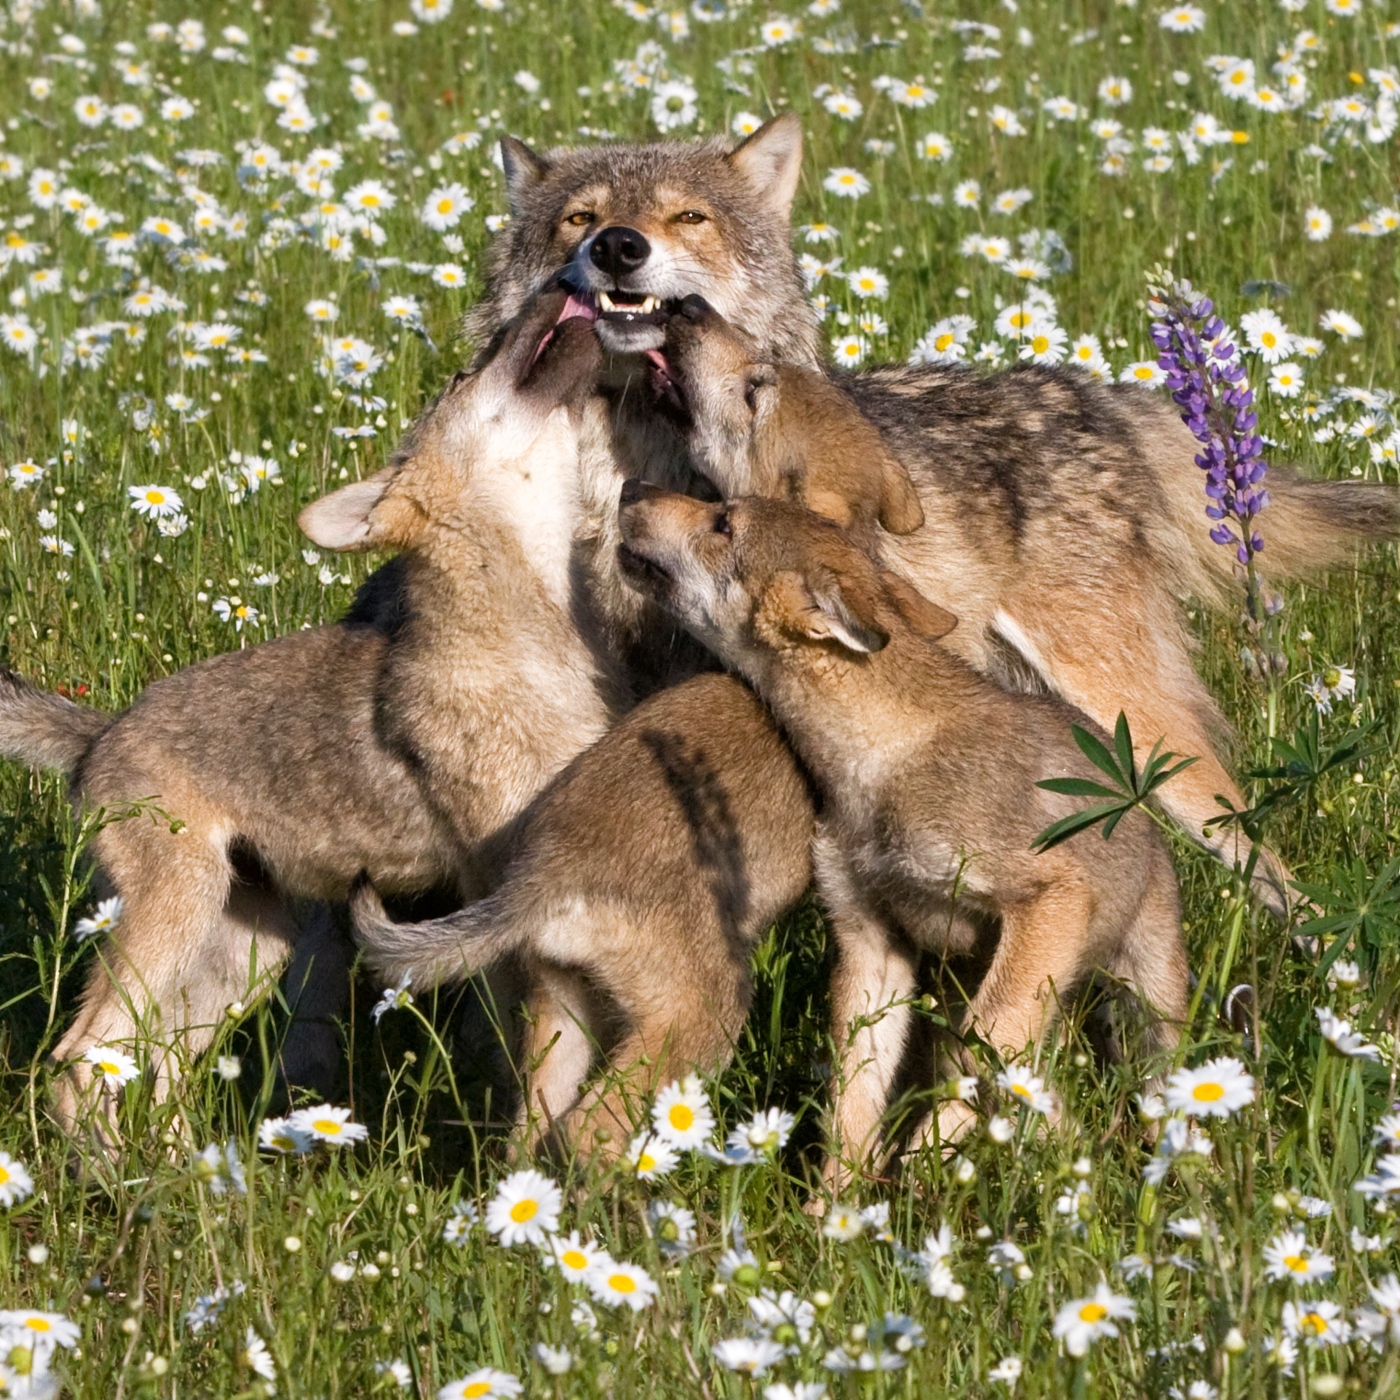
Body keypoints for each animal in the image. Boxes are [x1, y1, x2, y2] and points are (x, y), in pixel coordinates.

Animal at [0, 292, 622, 1131]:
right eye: (466, 375)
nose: (560, 283)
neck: (531, 633)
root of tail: (100, 736)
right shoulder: (505, 898)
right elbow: (531, 1065)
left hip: (241, 955)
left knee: (155, 1069)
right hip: (176, 921)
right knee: (78, 1064)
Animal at [616, 485, 1189, 1188]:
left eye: (724, 522)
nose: (633, 488)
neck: (880, 762)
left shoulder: (1049, 894)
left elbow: (985, 1049)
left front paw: (922, 1170)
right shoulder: (870, 944)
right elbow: (854, 1098)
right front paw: (841, 1206)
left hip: (1148, 999)